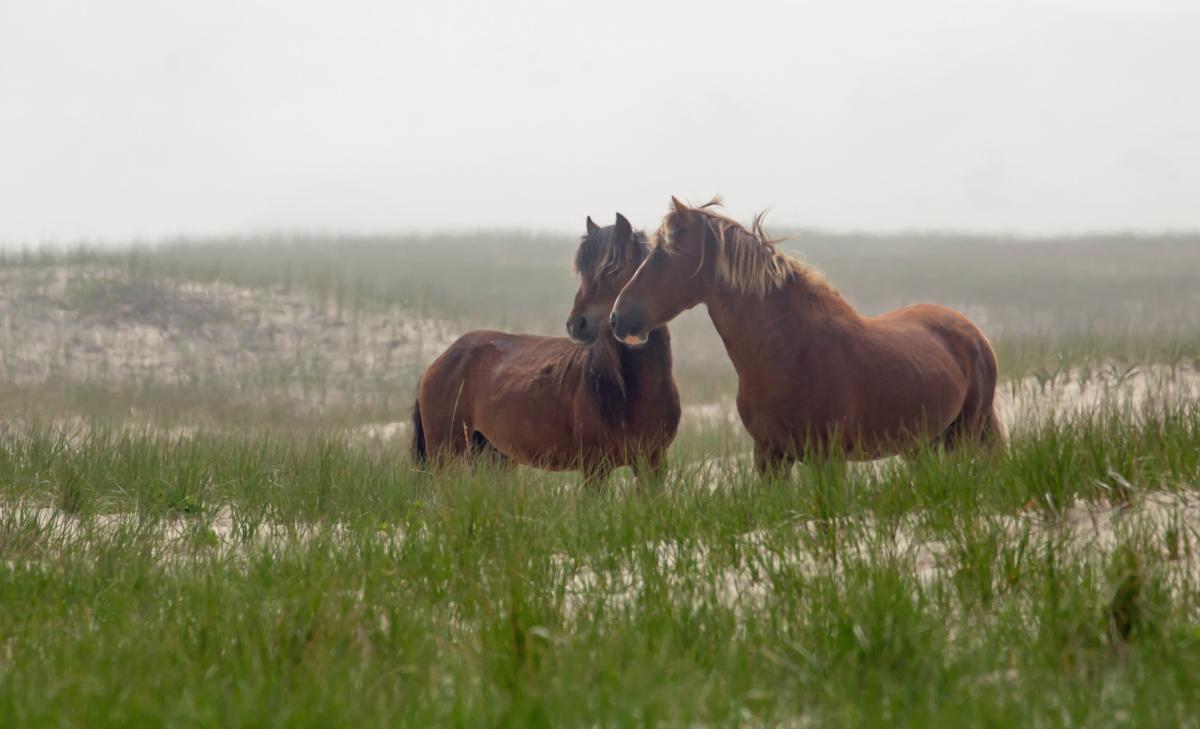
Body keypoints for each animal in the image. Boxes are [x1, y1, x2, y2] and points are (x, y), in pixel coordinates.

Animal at [410, 213, 680, 487]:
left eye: (613, 269)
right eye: (583, 271)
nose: (576, 324)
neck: (632, 391)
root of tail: (438, 362)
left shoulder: (653, 463)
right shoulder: (594, 468)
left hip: (493, 456)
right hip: (444, 455)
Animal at [609, 196, 1002, 475]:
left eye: (662, 255)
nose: (617, 318)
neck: (788, 354)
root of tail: (973, 333)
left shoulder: (828, 460)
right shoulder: (769, 457)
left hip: (963, 436)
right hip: (922, 445)